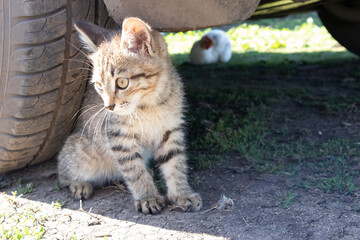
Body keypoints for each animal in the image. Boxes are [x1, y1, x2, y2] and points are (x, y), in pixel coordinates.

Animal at [57, 17, 201, 215]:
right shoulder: (118, 137)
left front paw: (182, 194)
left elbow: (175, 163)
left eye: (122, 82)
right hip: (80, 151)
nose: (108, 107)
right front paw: (147, 197)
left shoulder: (170, 130)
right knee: (62, 174)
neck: (150, 105)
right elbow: (133, 169)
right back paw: (79, 184)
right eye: (99, 86)